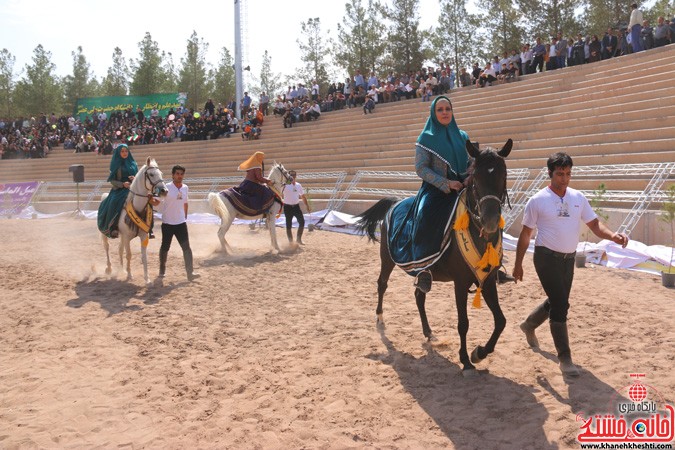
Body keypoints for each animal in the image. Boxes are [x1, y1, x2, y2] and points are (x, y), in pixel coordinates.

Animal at [356, 140, 510, 376]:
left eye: (503, 175)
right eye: (475, 178)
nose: (490, 220)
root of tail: (395, 203)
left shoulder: (488, 279)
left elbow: (501, 321)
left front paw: (479, 352)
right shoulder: (460, 282)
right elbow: (463, 323)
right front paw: (466, 360)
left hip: (423, 271)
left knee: (419, 295)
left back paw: (428, 332)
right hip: (387, 258)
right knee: (382, 284)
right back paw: (380, 319)